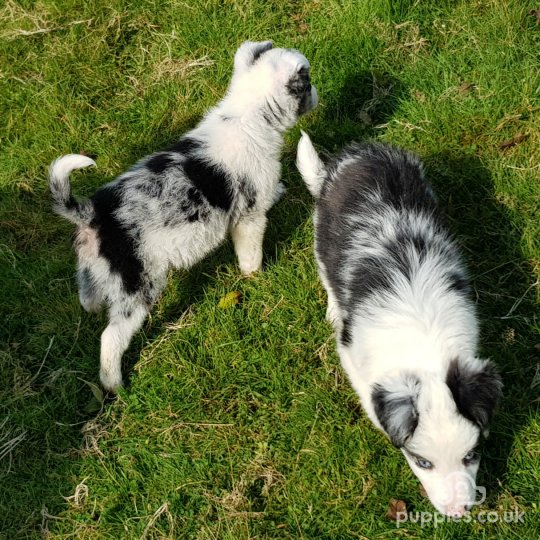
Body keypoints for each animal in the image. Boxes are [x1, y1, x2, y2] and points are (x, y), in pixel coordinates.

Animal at [49, 40, 318, 390]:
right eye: (306, 82)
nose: (316, 91)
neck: (247, 118)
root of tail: (92, 214)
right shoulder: (248, 218)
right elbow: (250, 253)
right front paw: (256, 276)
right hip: (138, 286)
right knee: (111, 338)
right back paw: (115, 385)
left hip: (91, 266)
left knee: (87, 295)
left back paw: (91, 311)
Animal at [296, 133, 502, 516]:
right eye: (422, 463)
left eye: (471, 455)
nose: (458, 512)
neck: (424, 347)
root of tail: (360, 151)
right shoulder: (352, 354)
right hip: (322, 232)